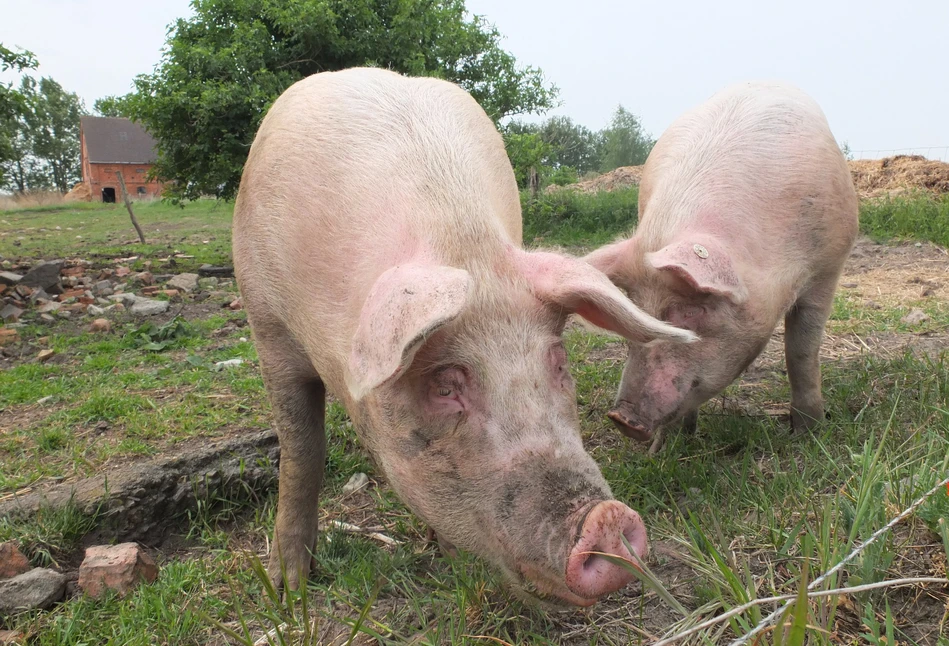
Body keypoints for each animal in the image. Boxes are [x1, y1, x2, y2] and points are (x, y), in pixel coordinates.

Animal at [232, 67, 692, 608]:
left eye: (559, 362)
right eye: (445, 386)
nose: (607, 521)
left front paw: (448, 553)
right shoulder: (268, 327)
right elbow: (302, 452)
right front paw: (287, 591)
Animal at [584, 81, 860, 454]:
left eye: (694, 309)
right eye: (636, 311)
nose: (622, 418)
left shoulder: (828, 265)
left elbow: (801, 352)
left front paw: (809, 434)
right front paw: (666, 448)